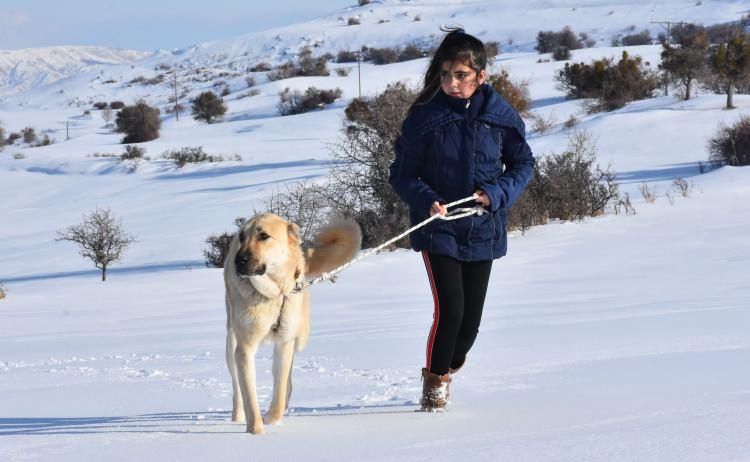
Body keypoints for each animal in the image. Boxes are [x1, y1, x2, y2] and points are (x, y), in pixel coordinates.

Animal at [225, 213, 362, 434]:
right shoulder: (245, 347)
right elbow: (249, 396)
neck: (274, 294)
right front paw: (256, 432)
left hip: (299, 337)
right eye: (242, 237)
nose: (239, 260)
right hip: (231, 344)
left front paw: (271, 418)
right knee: (237, 387)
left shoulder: (284, 343)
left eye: (263, 236)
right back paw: (237, 416)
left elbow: (280, 391)